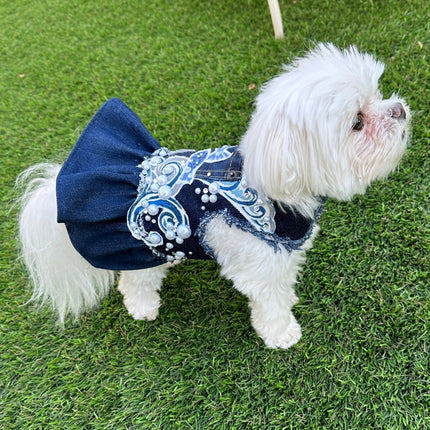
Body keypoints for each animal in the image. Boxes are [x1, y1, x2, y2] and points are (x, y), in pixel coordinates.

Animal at [17, 43, 410, 348]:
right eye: (357, 123)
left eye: (377, 94)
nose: (399, 109)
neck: (273, 188)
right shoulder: (259, 264)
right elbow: (270, 302)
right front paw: (280, 333)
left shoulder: (283, 254)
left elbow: (284, 284)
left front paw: (290, 298)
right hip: (137, 245)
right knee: (134, 281)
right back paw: (142, 307)